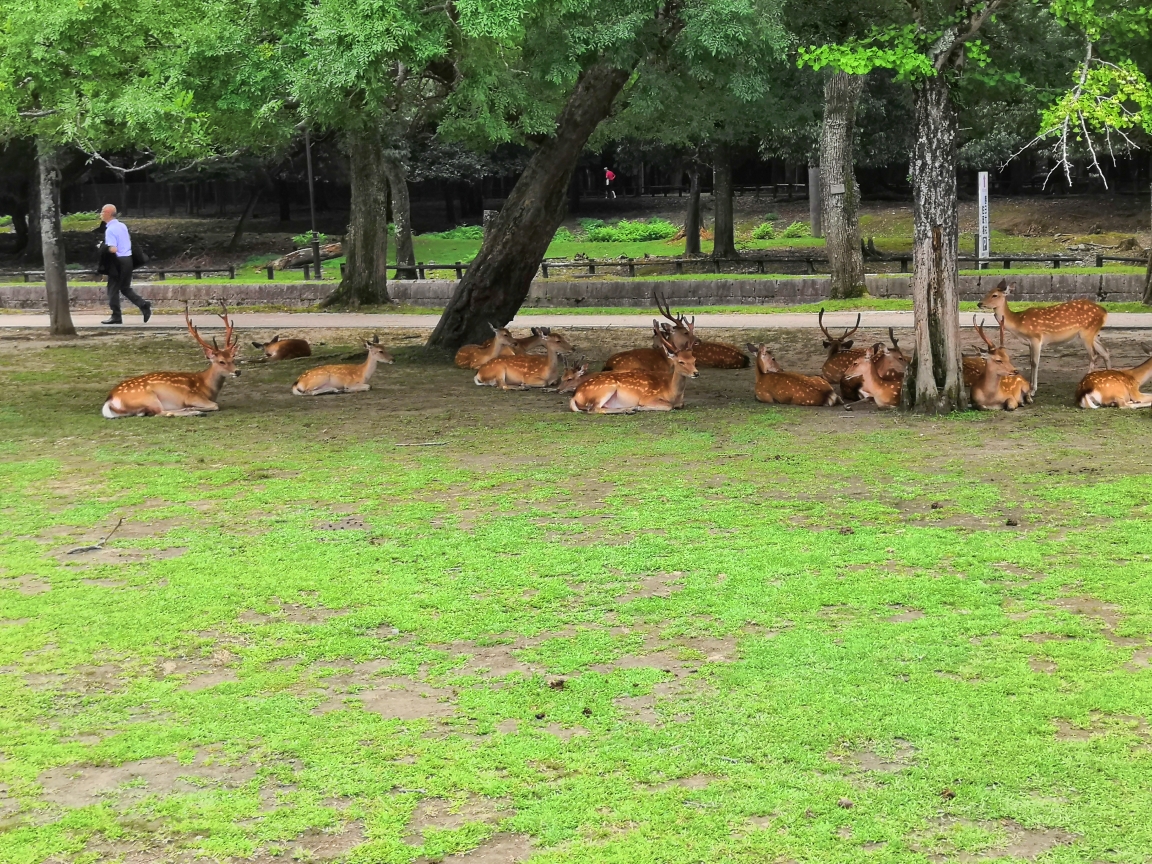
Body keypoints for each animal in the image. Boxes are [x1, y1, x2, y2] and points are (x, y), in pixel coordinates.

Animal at [101, 306, 240, 421]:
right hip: (149, 397)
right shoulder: (192, 396)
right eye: (221, 361)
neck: (206, 387)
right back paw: (194, 412)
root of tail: (110, 400)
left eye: (233, 358)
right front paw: (194, 408)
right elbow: (215, 405)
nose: (238, 371)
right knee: (161, 413)